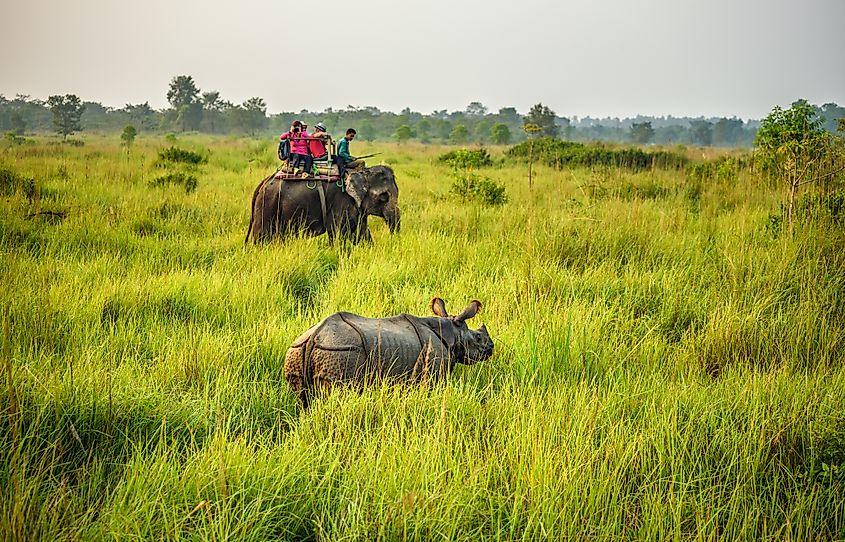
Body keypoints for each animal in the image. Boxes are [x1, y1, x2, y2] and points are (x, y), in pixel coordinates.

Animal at [244, 165, 402, 243]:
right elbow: (338, 234)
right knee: (262, 236)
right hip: (267, 204)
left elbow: (362, 233)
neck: (361, 172)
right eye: (384, 197)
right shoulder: (341, 202)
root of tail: (263, 182)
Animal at [286, 300, 494, 410]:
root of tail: (315, 337)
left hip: (298, 350)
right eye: (478, 337)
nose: (491, 347)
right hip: (340, 352)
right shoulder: (434, 372)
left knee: (302, 398)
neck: (452, 333)